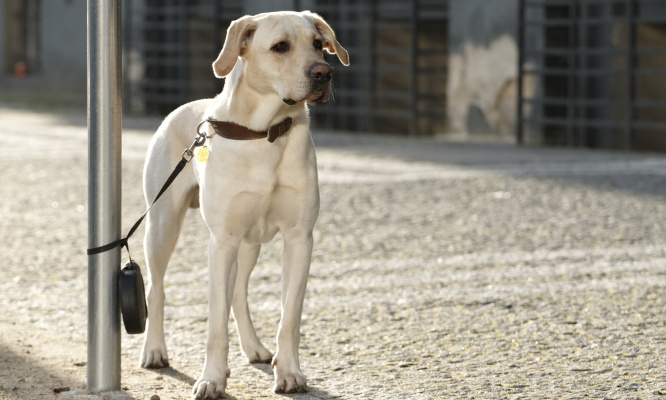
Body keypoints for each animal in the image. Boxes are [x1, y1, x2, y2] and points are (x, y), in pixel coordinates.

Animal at [138, 10, 350, 398]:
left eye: (317, 44)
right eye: (280, 47)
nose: (323, 73)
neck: (264, 133)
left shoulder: (300, 239)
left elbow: (289, 319)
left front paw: (289, 372)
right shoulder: (222, 241)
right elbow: (215, 325)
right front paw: (211, 378)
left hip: (249, 243)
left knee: (238, 293)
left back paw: (254, 347)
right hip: (161, 227)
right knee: (156, 289)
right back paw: (155, 350)